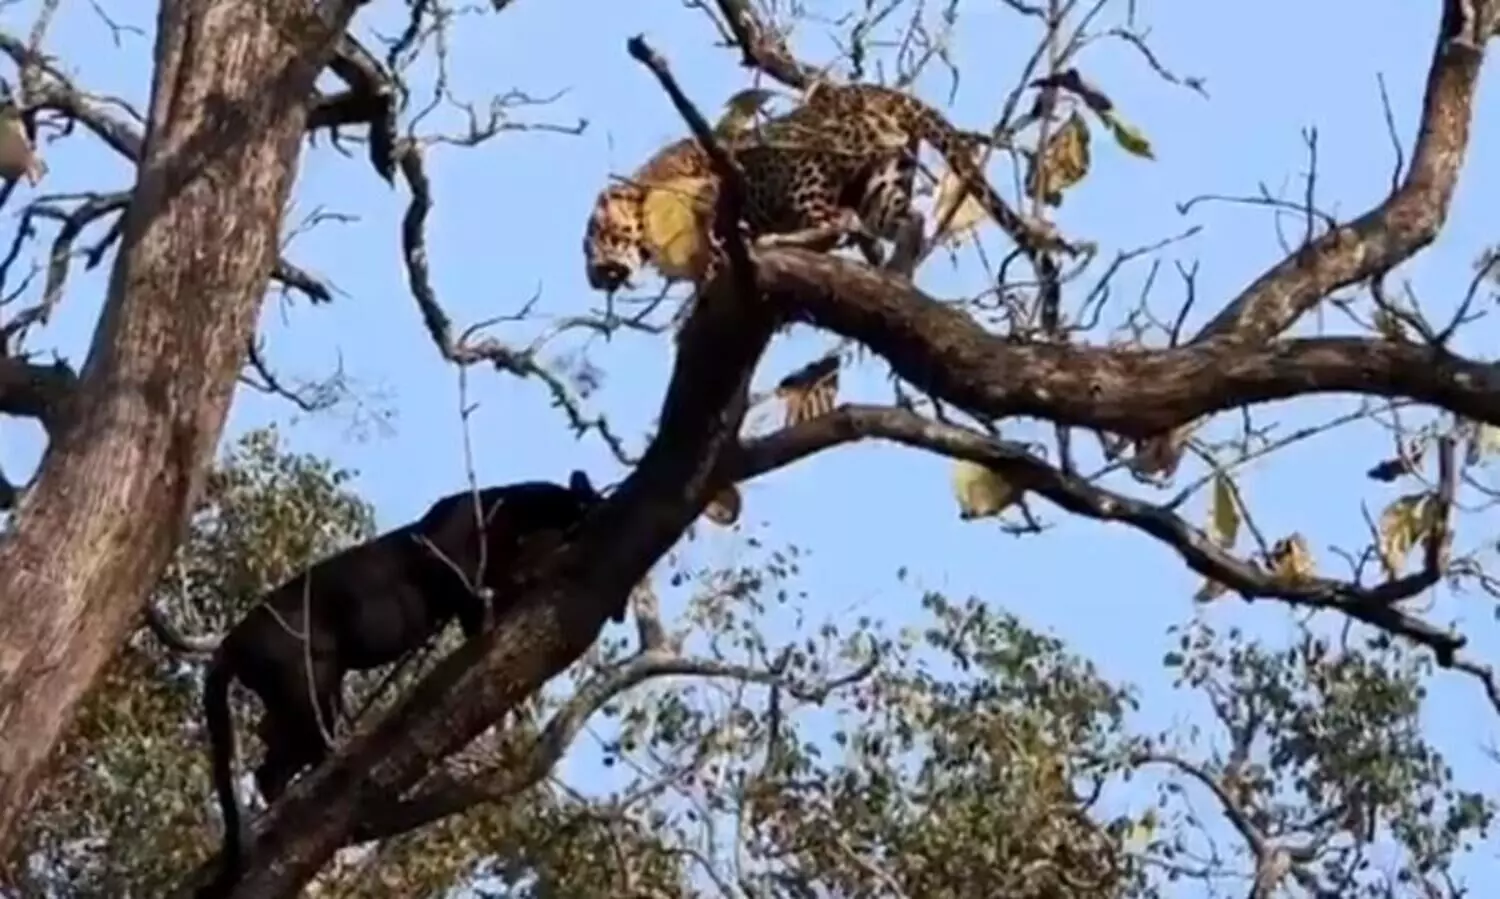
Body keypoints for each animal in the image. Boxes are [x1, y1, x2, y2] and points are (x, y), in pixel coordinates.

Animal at [582, 81, 1054, 295]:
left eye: (597, 239)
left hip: (806, 173)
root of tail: (885, 93)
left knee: (837, 221)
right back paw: (896, 271)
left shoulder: (708, 192)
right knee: (906, 219)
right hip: (883, 181)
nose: (594, 277)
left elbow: (715, 233)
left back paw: (776, 241)